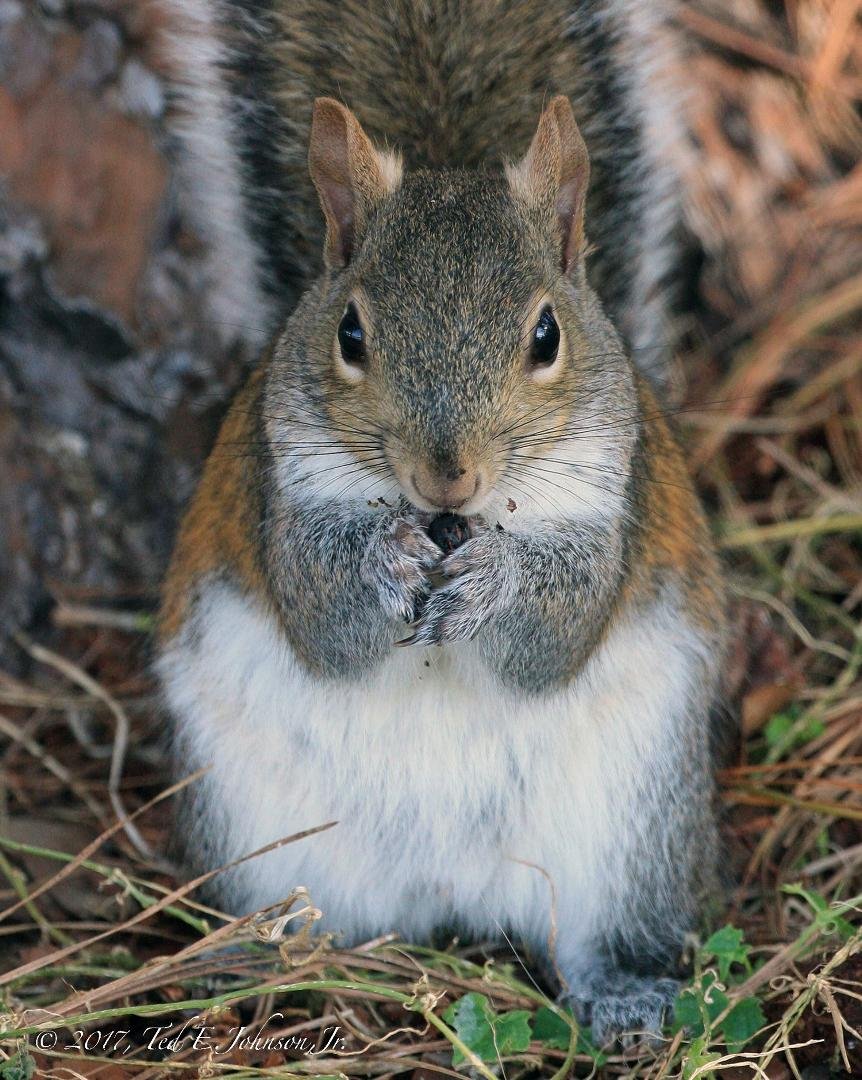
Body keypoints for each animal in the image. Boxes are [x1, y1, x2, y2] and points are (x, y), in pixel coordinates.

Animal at [157, 0, 728, 1044]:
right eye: (349, 332)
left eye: (546, 335)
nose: (445, 477)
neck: (460, 523)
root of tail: (443, 895)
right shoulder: (276, 491)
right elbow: (324, 619)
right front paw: (384, 557)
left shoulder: (614, 508)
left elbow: (553, 638)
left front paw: (492, 581)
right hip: (258, 835)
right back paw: (248, 969)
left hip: (632, 830)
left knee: (600, 932)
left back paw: (621, 993)